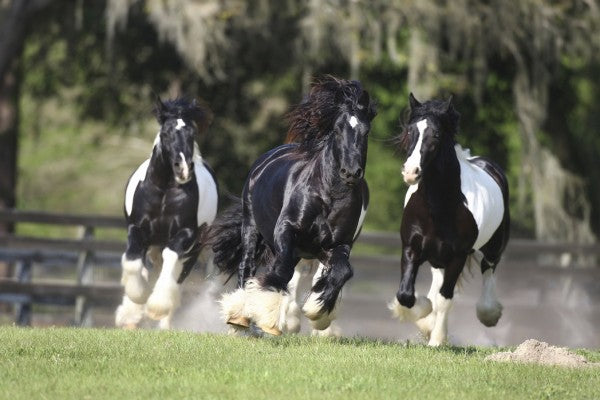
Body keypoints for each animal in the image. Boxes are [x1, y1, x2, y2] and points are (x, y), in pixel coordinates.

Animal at [115, 98, 218, 330]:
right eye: (165, 133)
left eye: (192, 133)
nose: (183, 169)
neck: (163, 191)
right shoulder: (137, 229)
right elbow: (133, 261)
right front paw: (138, 297)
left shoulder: (186, 234)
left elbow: (171, 260)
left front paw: (156, 306)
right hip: (154, 244)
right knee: (151, 268)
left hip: (193, 251)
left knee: (177, 279)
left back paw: (163, 323)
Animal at [207, 76, 376, 334]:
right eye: (338, 129)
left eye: (365, 131)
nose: (350, 172)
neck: (329, 195)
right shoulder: (286, 230)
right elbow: (281, 270)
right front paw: (269, 315)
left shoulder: (338, 244)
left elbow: (342, 271)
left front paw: (317, 310)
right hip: (252, 228)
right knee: (247, 266)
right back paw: (240, 318)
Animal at [390, 94, 510, 346]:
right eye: (409, 131)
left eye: (435, 135)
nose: (411, 172)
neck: (437, 208)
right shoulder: (411, 248)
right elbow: (405, 295)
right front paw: (424, 316)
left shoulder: (458, 256)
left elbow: (445, 298)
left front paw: (436, 340)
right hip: (437, 256)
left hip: (493, 246)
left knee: (488, 269)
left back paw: (489, 314)